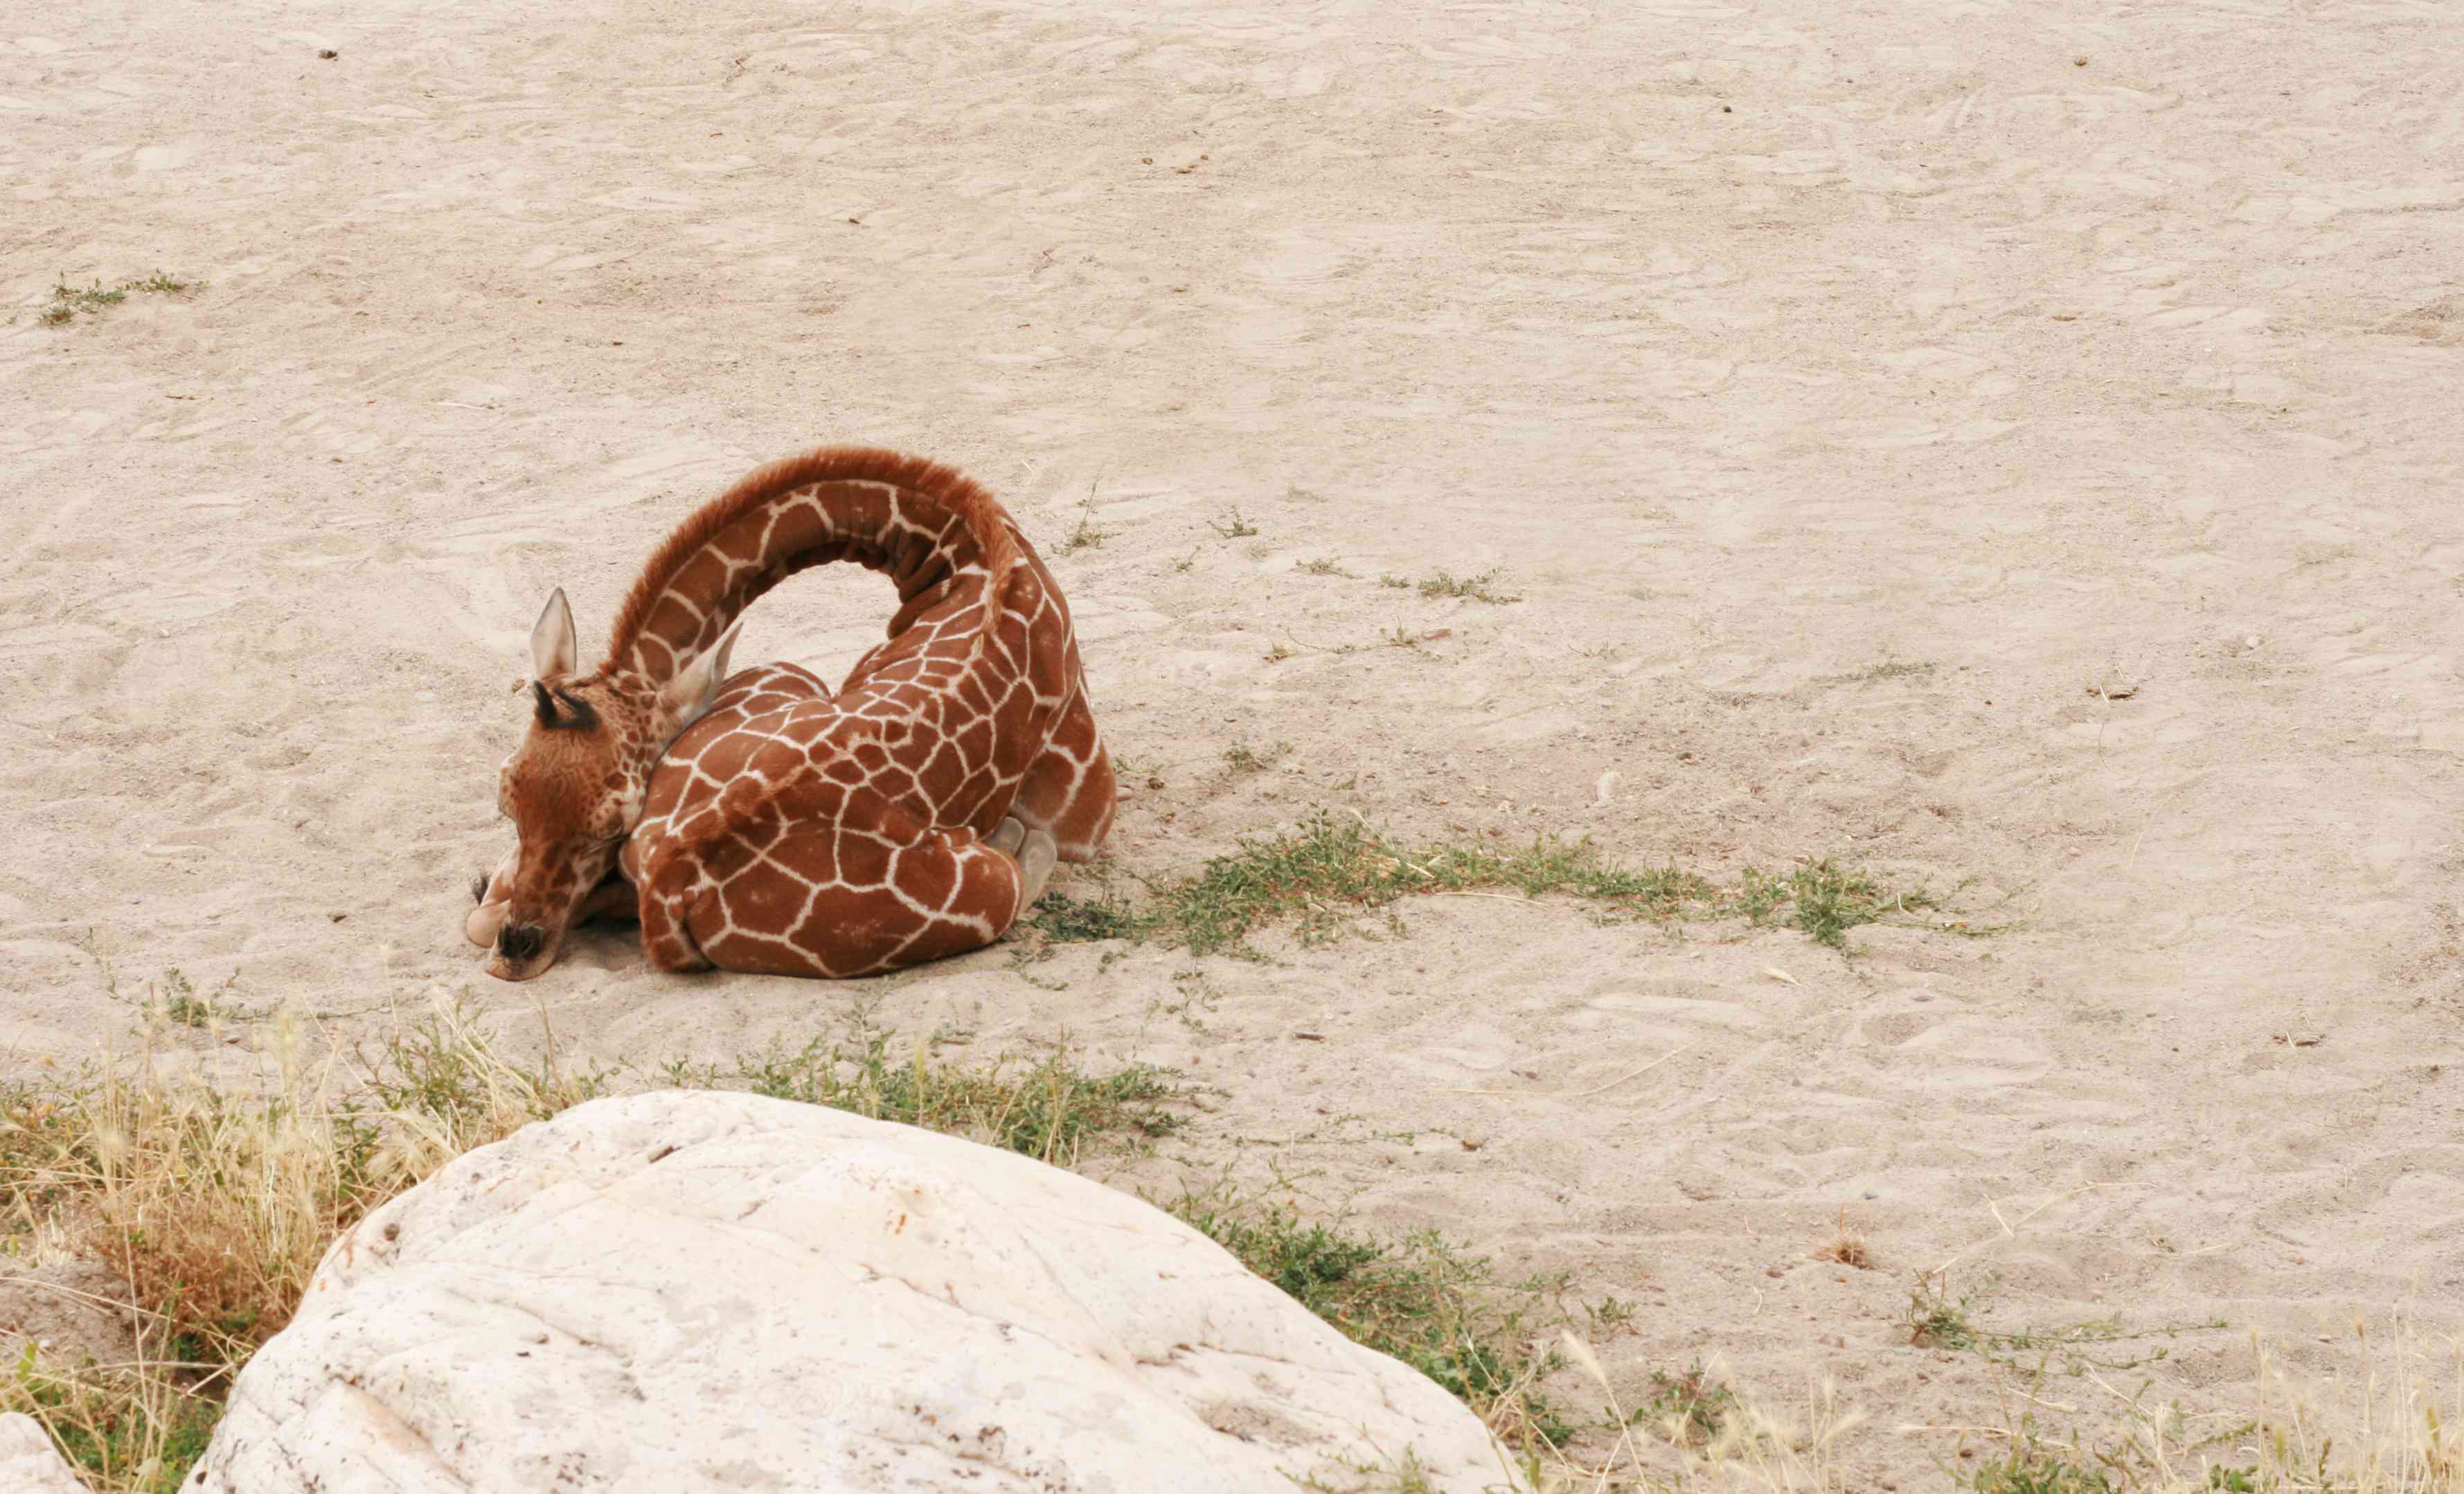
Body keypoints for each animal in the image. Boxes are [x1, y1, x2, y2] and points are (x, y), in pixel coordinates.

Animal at [463, 443, 1118, 986]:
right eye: (505, 802)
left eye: (611, 825)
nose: (517, 951)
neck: (970, 554)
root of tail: (679, 872)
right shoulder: (1085, 812)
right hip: (979, 882)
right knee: (1021, 869)